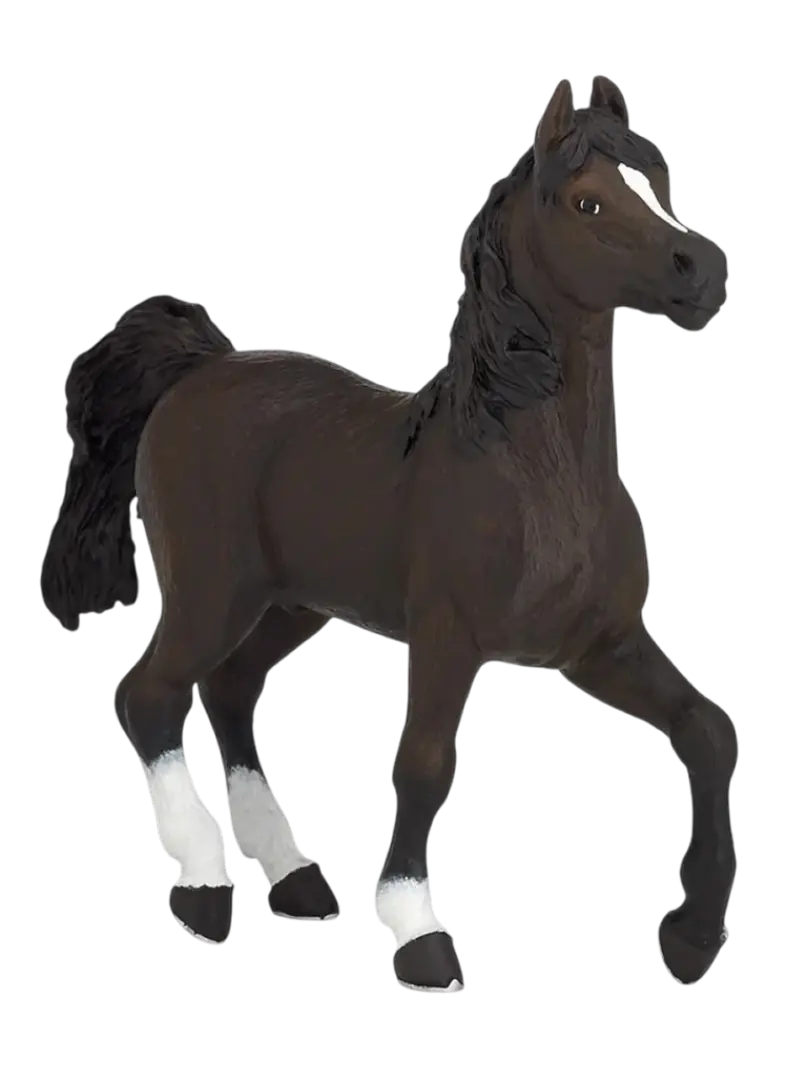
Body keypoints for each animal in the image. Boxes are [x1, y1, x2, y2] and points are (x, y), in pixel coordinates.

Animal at [42, 77, 735, 992]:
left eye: (657, 178)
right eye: (588, 200)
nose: (705, 272)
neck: (537, 476)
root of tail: (198, 369)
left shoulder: (599, 646)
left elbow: (707, 731)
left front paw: (691, 937)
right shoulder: (447, 639)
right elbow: (425, 765)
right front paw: (419, 937)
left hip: (291, 603)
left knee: (230, 688)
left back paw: (297, 880)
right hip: (211, 593)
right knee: (151, 693)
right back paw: (202, 892)